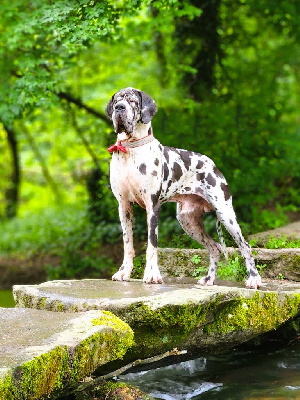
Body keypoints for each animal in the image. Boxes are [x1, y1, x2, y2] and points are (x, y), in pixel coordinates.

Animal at [106, 87, 262, 290]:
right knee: (215, 247)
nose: (119, 108)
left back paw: (254, 279)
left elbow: (152, 246)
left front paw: (152, 275)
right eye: (117, 100)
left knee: (245, 245)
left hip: (226, 214)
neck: (131, 151)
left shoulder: (152, 207)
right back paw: (209, 279)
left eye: (133, 101)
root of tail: (213, 165)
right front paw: (124, 272)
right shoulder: (124, 206)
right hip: (188, 221)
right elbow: (128, 244)